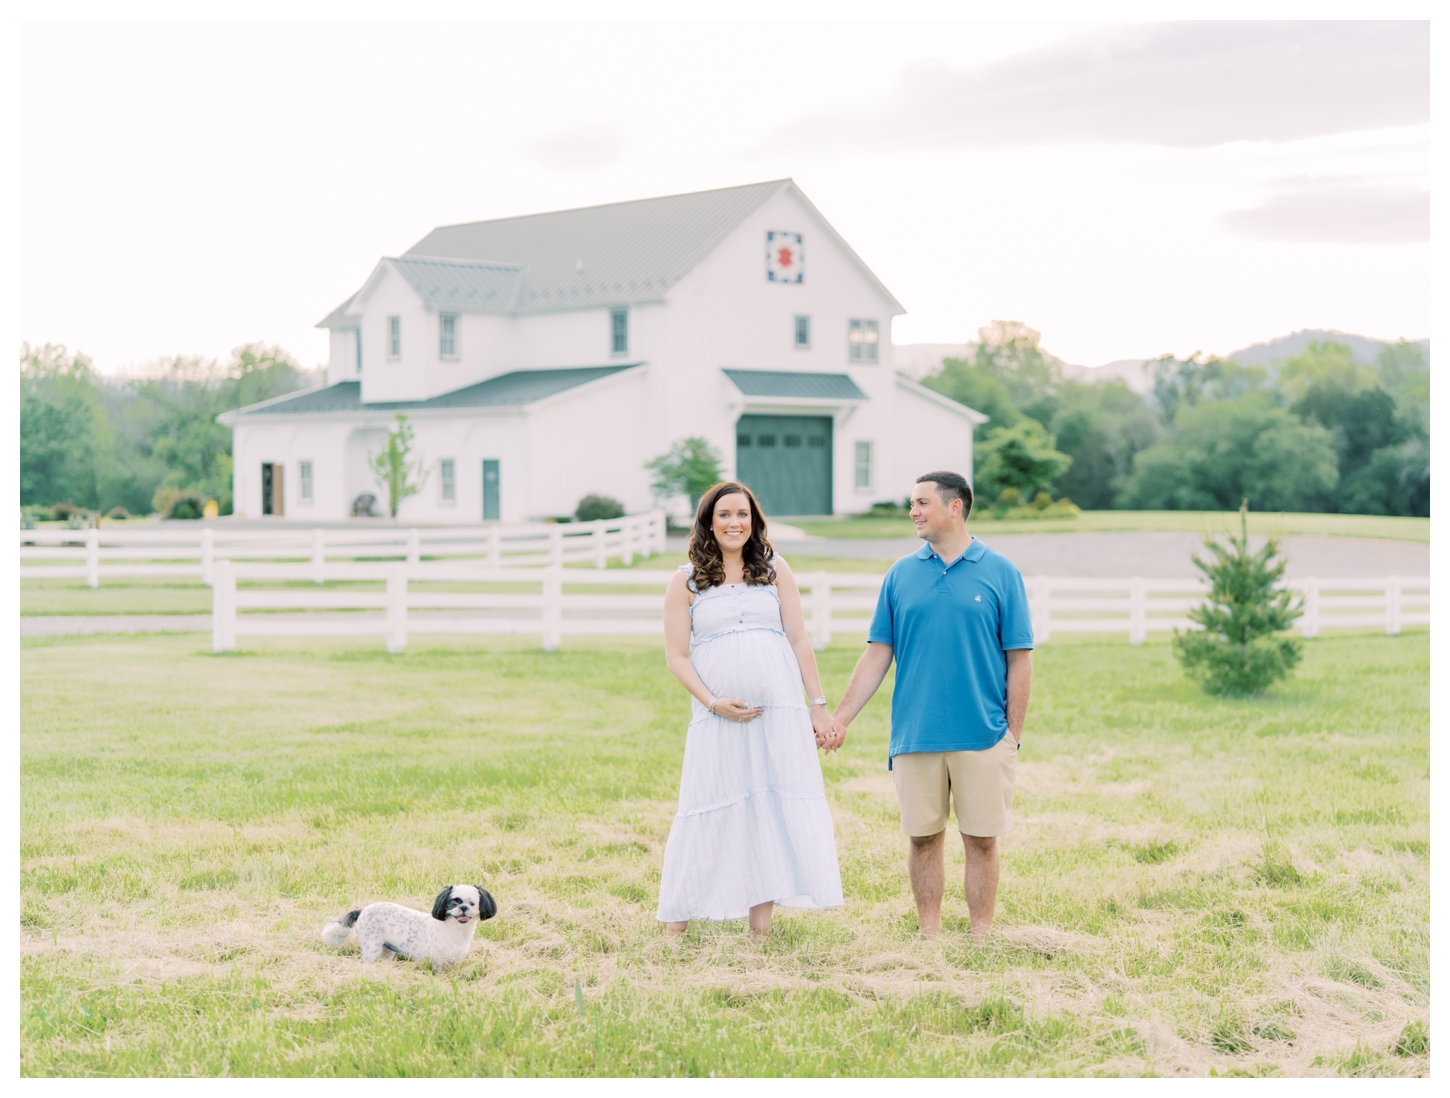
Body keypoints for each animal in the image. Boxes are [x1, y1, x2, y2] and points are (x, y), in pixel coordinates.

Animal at [319, 881, 495, 957]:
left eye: (473, 903)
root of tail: (363, 910)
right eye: (454, 902)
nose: (464, 907)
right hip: (372, 949)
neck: (456, 932)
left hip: (386, 950)